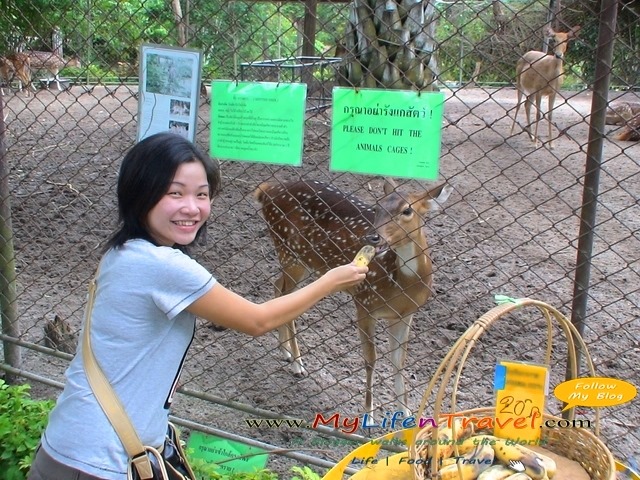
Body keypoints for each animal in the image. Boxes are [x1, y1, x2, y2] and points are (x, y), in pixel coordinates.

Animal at [252, 178, 452, 414]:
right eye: (377, 207)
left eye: (407, 210)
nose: (372, 237)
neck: (401, 285)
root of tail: (266, 190)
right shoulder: (364, 303)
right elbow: (370, 360)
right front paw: (369, 414)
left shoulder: (405, 315)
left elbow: (399, 361)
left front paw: (405, 413)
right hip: (289, 251)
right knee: (285, 294)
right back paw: (297, 364)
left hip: (300, 260)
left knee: (279, 288)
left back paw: (285, 351)